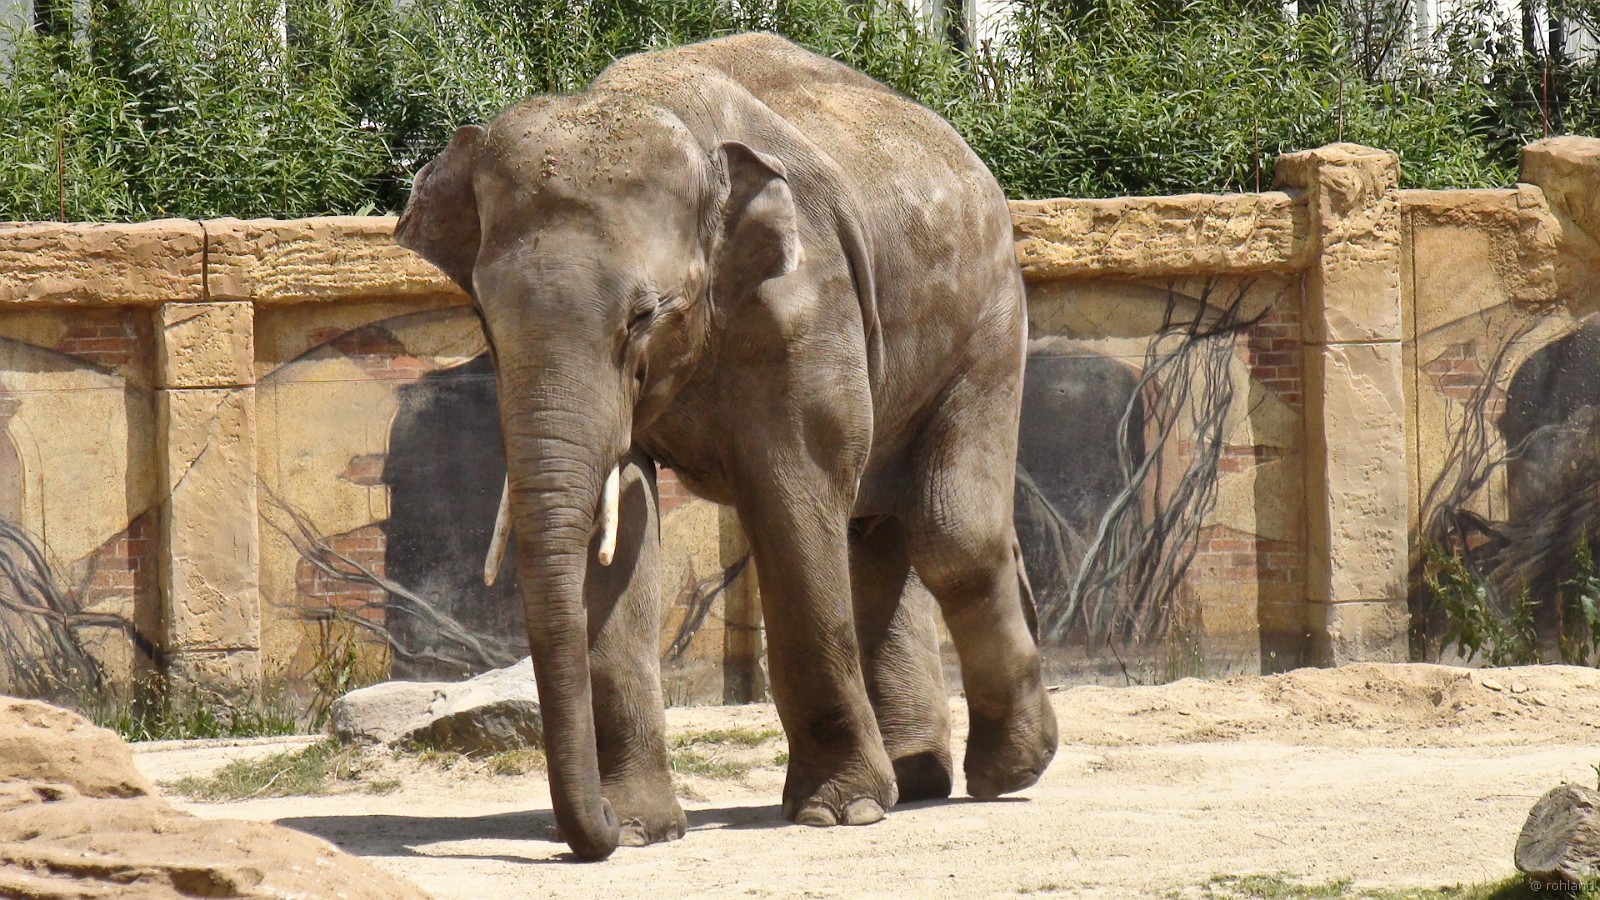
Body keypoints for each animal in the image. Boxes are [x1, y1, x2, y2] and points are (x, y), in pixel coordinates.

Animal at [395, 32, 1058, 861]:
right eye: (484, 315)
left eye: (643, 316)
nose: (591, 832)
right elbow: (627, 521)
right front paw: (642, 830)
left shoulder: (803, 302)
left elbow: (791, 500)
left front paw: (837, 812)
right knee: (877, 530)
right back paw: (916, 780)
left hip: (989, 322)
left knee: (948, 533)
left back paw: (1006, 772)